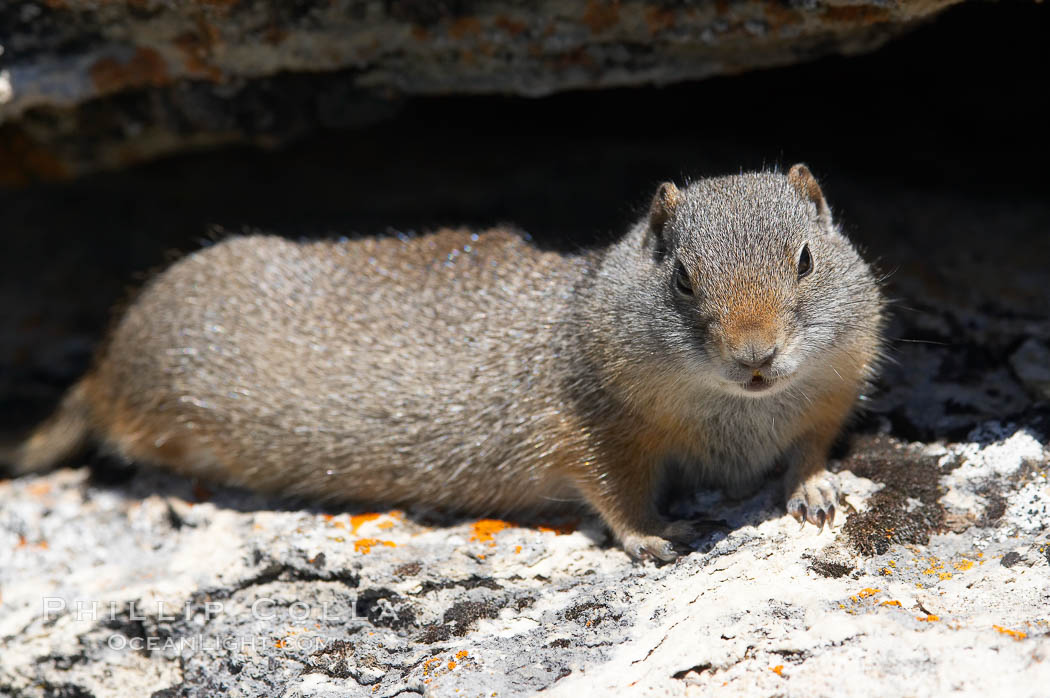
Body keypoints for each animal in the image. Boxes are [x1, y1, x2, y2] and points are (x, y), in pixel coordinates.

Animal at [16, 164, 886, 562]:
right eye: (681, 279)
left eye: (806, 259)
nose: (756, 356)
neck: (739, 412)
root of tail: (107, 357)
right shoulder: (590, 428)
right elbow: (613, 493)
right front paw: (650, 538)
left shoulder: (828, 399)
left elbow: (810, 450)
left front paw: (816, 489)